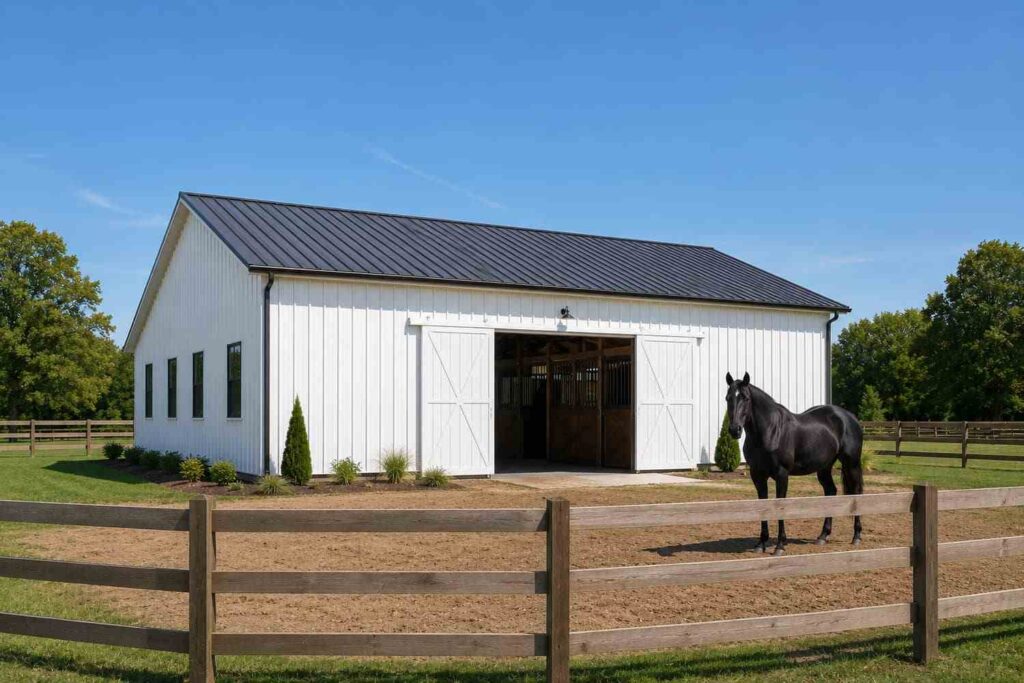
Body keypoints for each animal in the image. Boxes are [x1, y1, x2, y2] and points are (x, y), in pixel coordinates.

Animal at [725, 371, 864, 556]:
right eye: (728, 398)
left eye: (745, 398)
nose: (735, 430)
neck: (770, 431)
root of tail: (850, 417)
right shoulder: (757, 475)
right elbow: (763, 506)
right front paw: (761, 544)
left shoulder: (781, 474)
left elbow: (780, 506)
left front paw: (780, 546)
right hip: (824, 468)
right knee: (830, 491)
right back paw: (823, 536)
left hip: (851, 463)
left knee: (856, 493)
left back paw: (856, 536)